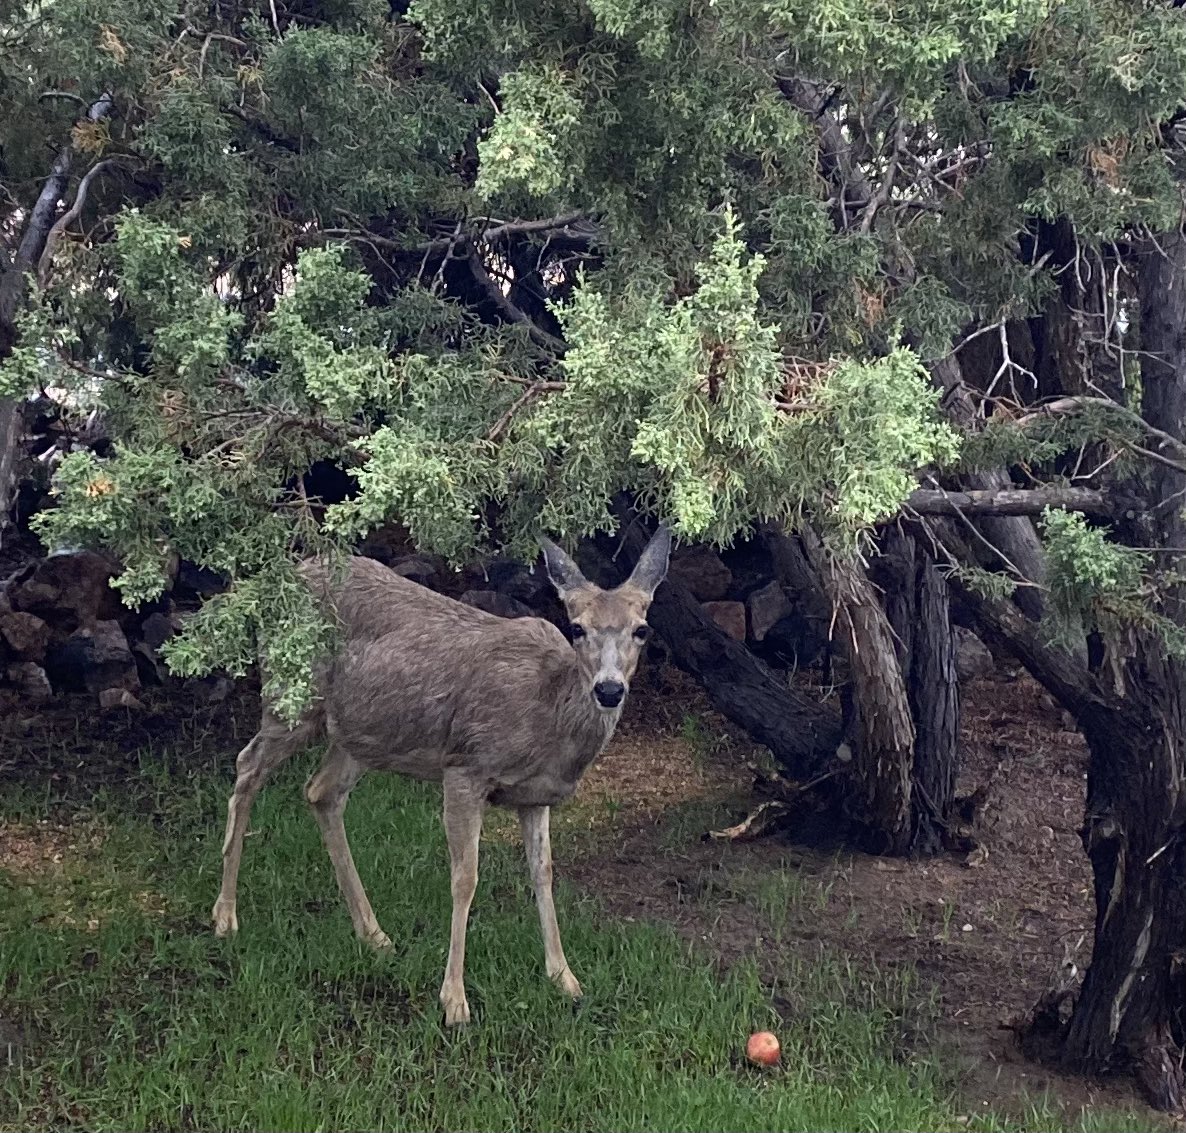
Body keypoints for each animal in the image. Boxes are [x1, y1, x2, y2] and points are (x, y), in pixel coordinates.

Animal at [206, 522, 668, 1029]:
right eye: (577, 627)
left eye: (642, 629)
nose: (609, 689)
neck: (549, 717)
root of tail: (285, 580)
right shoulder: (466, 767)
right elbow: (465, 878)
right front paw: (455, 1001)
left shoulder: (534, 797)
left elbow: (543, 872)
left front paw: (565, 978)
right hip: (292, 694)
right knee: (247, 766)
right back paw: (225, 916)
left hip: (360, 732)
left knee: (320, 791)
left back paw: (373, 933)